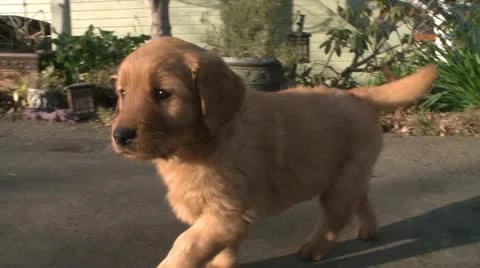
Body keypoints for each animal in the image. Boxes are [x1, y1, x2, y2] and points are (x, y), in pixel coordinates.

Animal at [111, 36, 438, 268]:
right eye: (122, 94)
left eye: (162, 94)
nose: (120, 136)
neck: (205, 143)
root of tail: (359, 95)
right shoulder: (223, 215)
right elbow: (221, 247)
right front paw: (222, 263)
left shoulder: (228, 211)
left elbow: (186, 244)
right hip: (350, 175)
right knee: (360, 198)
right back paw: (368, 230)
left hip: (341, 180)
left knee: (335, 218)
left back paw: (313, 248)